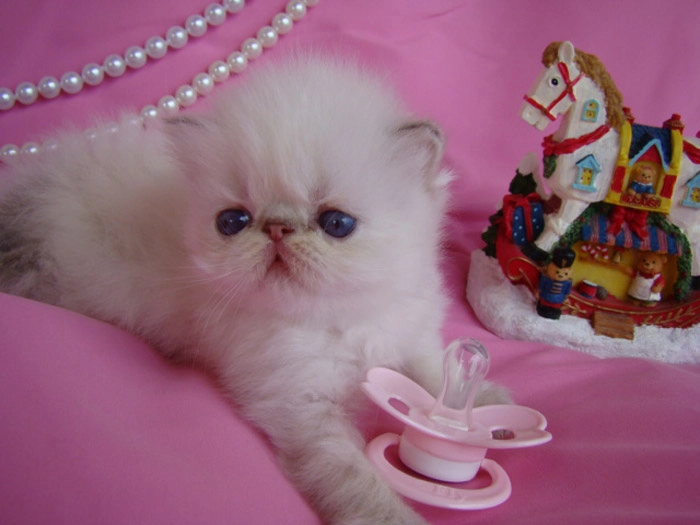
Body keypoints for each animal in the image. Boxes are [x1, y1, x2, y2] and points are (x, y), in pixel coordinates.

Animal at [0, 56, 506, 524]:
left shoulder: (410, 332)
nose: (278, 228)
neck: (341, 316)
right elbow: (354, 476)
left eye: (336, 223)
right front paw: (391, 516)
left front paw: (487, 409)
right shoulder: (302, 408)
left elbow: (438, 376)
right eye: (232, 221)